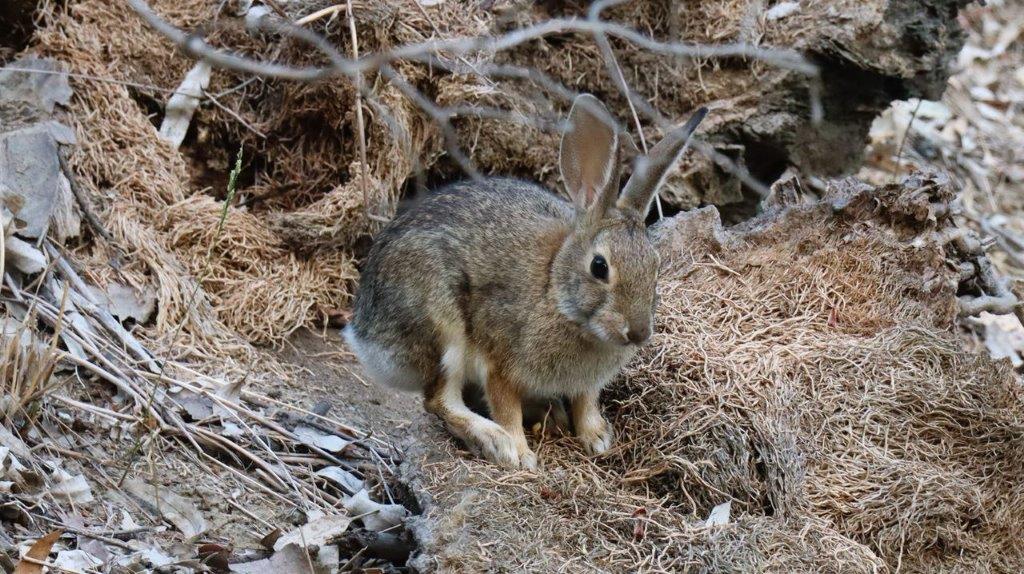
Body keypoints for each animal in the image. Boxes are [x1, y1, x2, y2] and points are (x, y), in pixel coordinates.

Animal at [344, 94, 704, 468]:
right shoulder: (498, 362)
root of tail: (364, 333)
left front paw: (597, 438)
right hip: (440, 327)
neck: (556, 290)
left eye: (656, 266)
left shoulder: (585, 384)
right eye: (599, 266)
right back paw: (492, 438)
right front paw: (519, 454)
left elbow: (585, 403)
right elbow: (506, 408)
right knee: (438, 399)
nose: (638, 332)